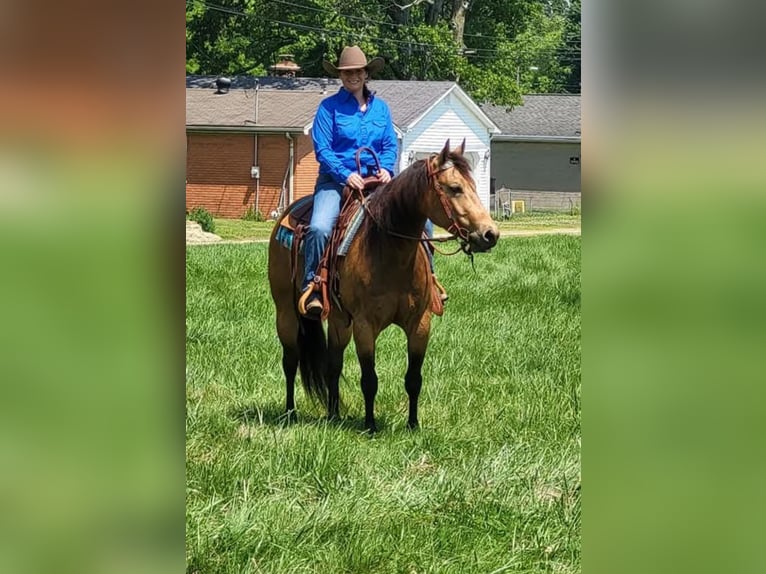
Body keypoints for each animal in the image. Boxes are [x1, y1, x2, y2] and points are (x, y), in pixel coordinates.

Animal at [267, 139, 499, 432]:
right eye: (455, 188)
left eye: (473, 185)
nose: (490, 234)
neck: (390, 251)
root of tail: (287, 214)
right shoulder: (365, 326)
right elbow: (369, 380)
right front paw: (370, 425)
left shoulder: (420, 324)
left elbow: (414, 378)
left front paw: (413, 425)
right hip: (286, 311)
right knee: (290, 361)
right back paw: (290, 412)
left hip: (339, 320)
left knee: (333, 365)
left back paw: (333, 415)